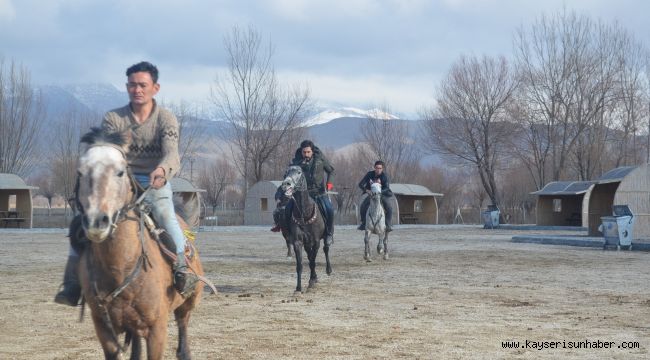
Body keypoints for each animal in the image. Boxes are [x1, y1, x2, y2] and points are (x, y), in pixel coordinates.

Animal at [74, 129, 204, 360]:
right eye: (80, 172)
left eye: (120, 172)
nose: (97, 221)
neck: (120, 267)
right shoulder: (105, 330)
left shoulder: (157, 329)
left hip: (188, 303)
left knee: (183, 333)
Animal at [280, 165, 330, 294]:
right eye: (286, 173)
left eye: (299, 172)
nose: (286, 184)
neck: (304, 213)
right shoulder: (298, 242)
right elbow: (300, 265)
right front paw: (298, 288)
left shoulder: (316, 241)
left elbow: (312, 261)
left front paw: (311, 281)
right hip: (307, 243)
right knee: (309, 254)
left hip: (323, 238)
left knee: (326, 249)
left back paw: (328, 270)